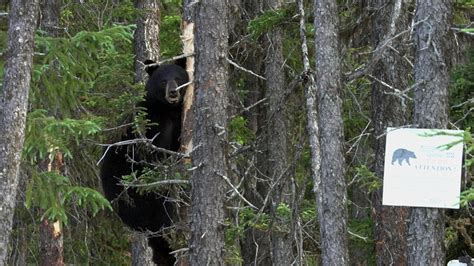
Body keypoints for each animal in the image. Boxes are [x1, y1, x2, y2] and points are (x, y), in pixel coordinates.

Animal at [101, 59, 189, 264]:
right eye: (163, 81)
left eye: (178, 78)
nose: (173, 92)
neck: (166, 111)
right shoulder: (150, 128)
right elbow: (156, 152)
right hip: (138, 195)